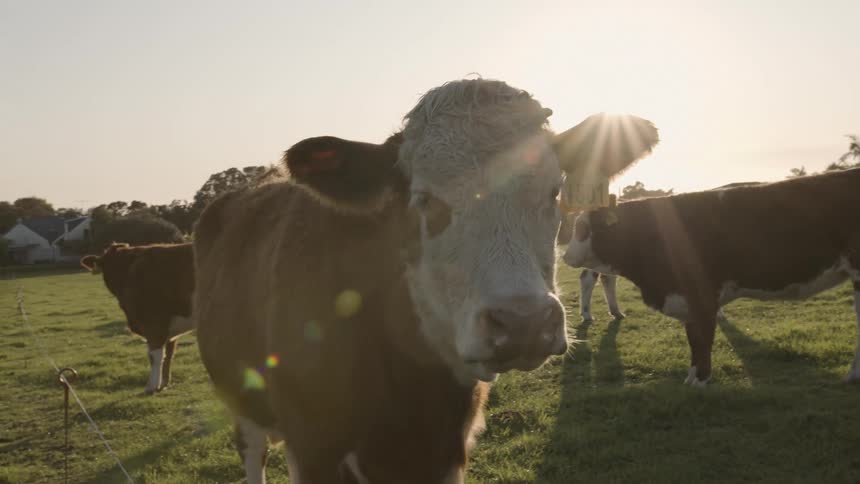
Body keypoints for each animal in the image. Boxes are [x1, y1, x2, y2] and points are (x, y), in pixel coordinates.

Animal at [80, 242, 195, 394]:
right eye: (108, 266)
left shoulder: (155, 324)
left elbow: (155, 356)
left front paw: (151, 386)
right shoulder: (168, 331)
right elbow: (169, 355)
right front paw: (164, 384)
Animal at [563, 168, 860, 387]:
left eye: (582, 228)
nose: (564, 256)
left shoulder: (701, 294)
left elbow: (702, 338)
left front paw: (701, 380)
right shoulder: (687, 298)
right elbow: (693, 338)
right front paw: (692, 377)